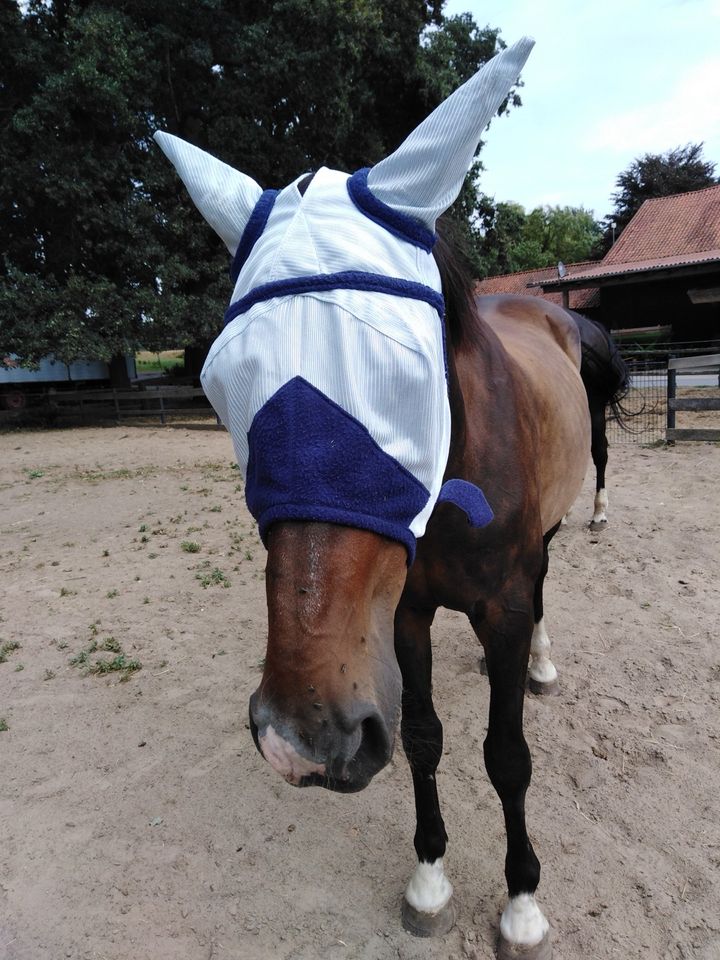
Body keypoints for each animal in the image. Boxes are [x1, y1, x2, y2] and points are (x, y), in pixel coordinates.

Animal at [249, 266, 592, 956]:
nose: (301, 736)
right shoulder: (407, 616)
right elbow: (423, 739)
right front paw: (429, 884)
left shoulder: (505, 615)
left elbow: (507, 757)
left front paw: (522, 907)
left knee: (544, 583)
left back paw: (539, 667)